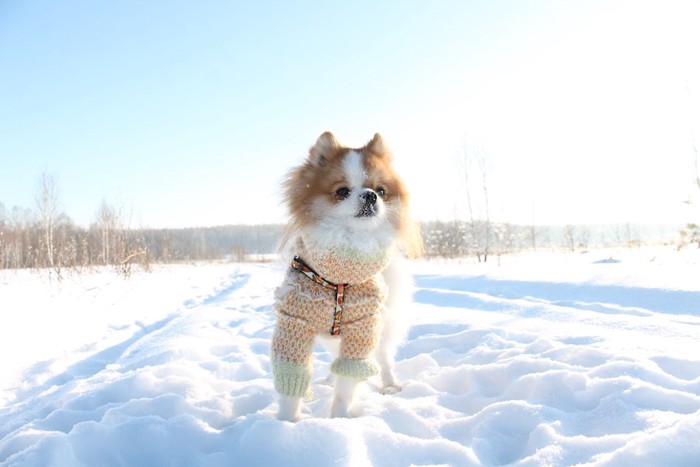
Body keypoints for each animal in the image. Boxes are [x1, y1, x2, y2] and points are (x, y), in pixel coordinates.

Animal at [272, 130, 422, 422]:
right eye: (342, 191)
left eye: (381, 191)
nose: (370, 196)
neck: (340, 276)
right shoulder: (295, 322)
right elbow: (292, 378)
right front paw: (286, 422)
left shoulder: (363, 326)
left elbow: (349, 379)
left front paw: (339, 418)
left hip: (382, 328)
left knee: (383, 358)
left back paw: (389, 385)